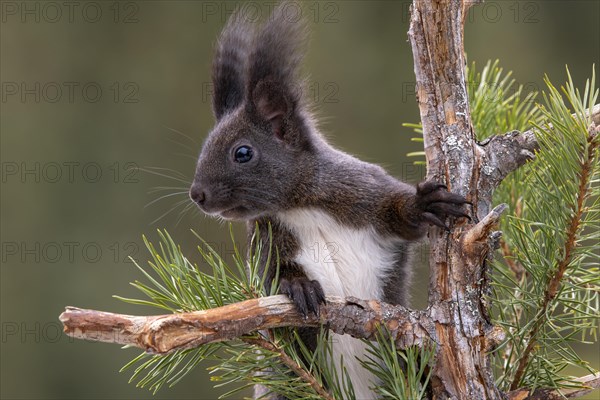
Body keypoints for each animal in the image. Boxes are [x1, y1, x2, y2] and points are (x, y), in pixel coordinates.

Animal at [190, 3, 472, 400]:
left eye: (242, 153)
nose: (197, 194)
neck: (301, 208)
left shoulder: (360, 190)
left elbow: (399, 215)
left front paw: (425, 204)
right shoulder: (264, 241)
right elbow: (268, 283)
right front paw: (297, 285)